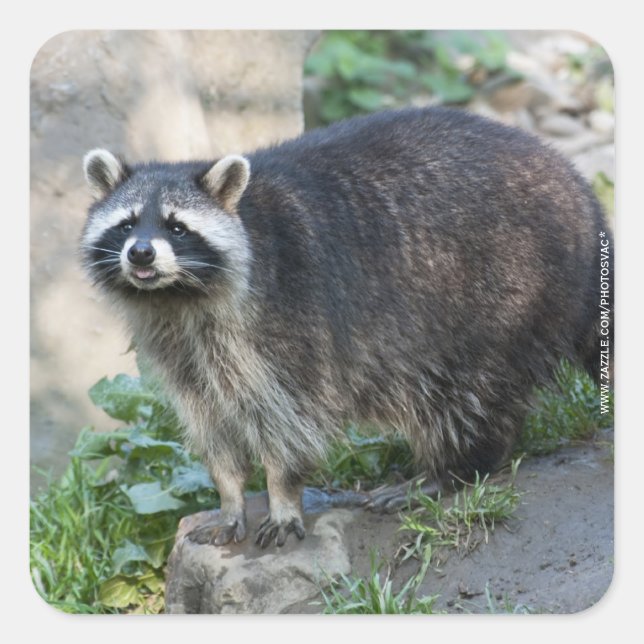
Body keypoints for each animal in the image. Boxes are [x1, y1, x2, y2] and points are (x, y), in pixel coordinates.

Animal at [80, 106, 610, 548]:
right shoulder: (182, 351)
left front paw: (282, 494)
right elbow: (212, 425)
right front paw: (229, 498)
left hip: (501, 289)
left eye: (176, 227)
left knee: (463, 396)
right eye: (127, 224)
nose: (141, 253)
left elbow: (293, 420)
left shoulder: (290, 322)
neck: (178, 296)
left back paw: (453, 468)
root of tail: (584, 197)